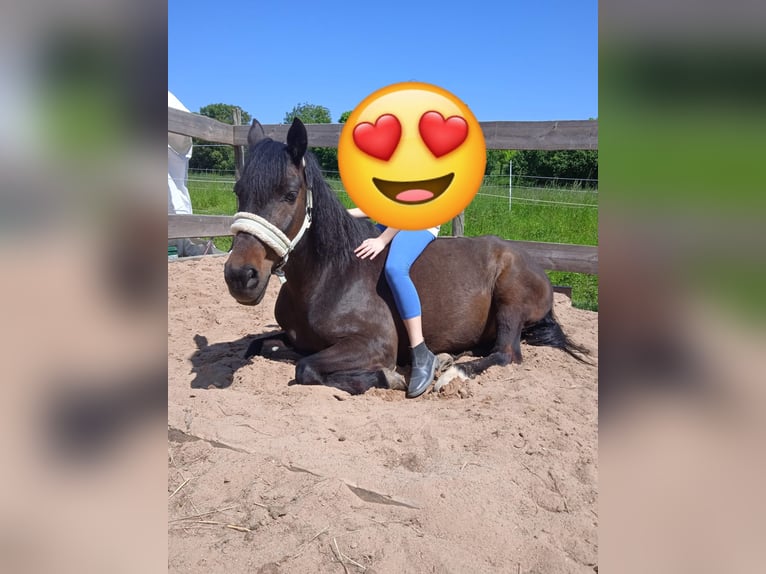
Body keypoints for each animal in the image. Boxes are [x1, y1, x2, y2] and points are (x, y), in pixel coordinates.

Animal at [224, 118, 589, 395]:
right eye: (238, 191)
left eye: (290, 194)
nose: (240, 276)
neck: (330, 277)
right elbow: (261, 345)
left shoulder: (374, 343)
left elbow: (305, 368)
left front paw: (390, 377)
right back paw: (448, 358)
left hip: (510, 301)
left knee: (506, 353)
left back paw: (449, 373)